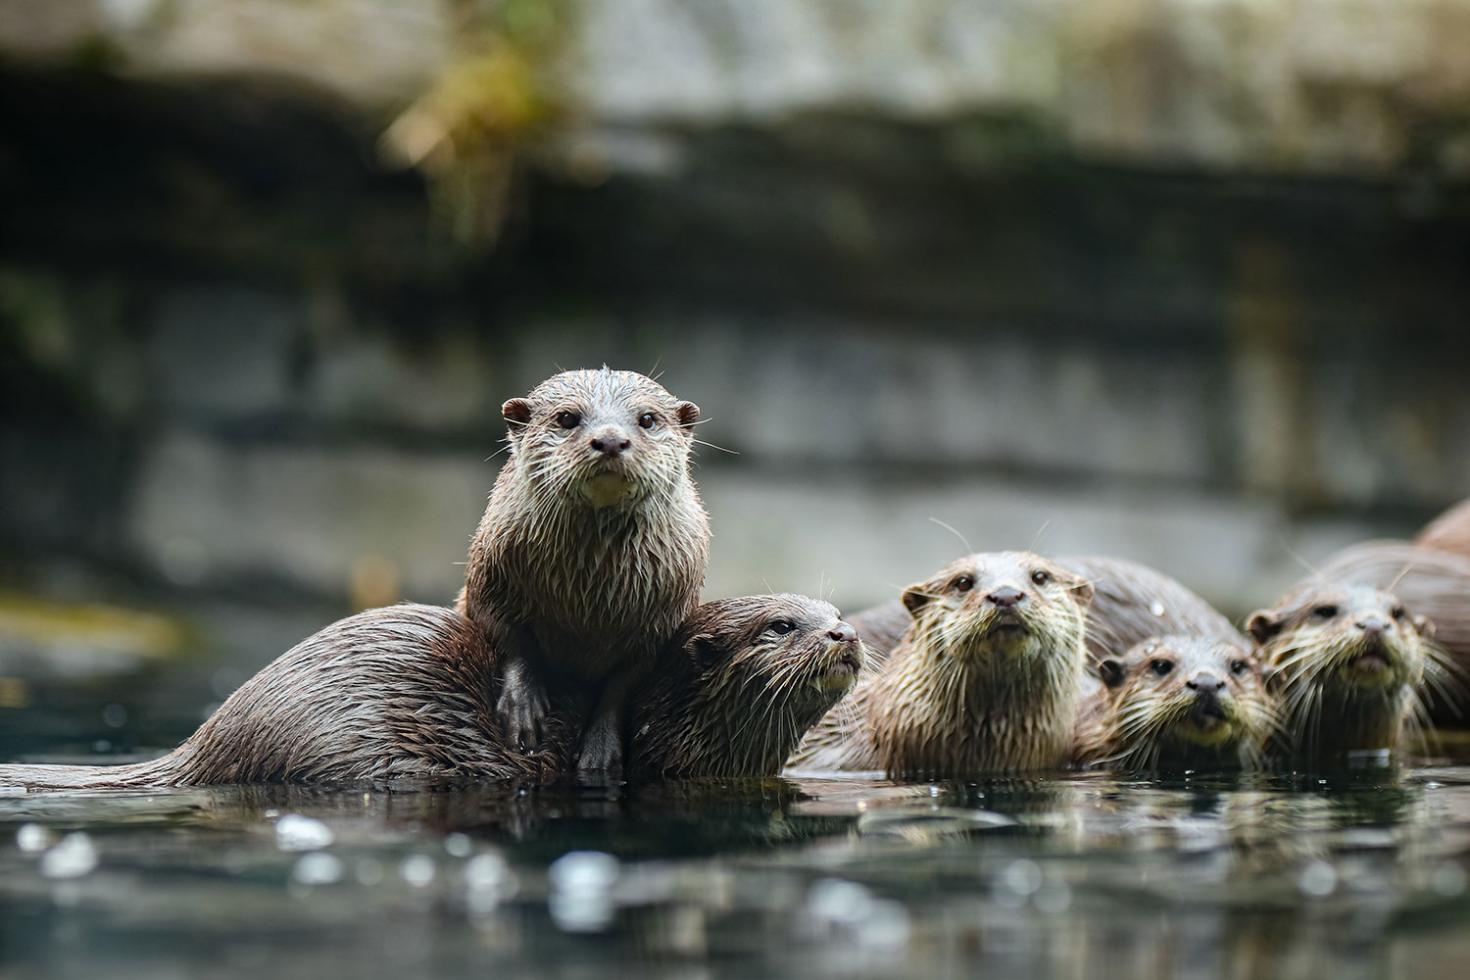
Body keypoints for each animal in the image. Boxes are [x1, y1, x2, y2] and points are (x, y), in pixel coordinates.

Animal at [458, 367, 711, 775]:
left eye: (647, 419)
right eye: (567, 418)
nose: (610, 440)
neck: (587, 608)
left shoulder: (662, 620)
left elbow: (622, 683)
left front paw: (601, 749)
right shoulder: (489, 579)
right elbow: (510, 639)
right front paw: (523, 708)